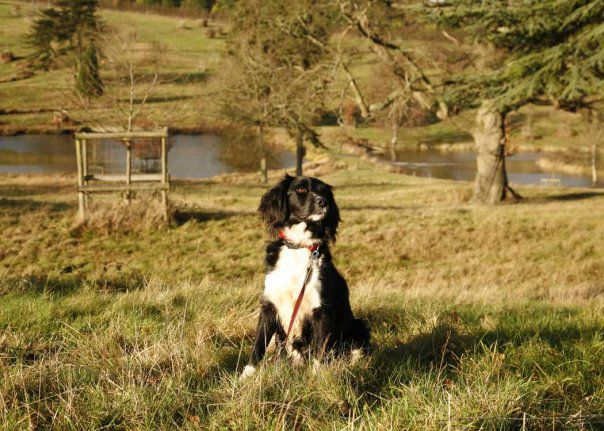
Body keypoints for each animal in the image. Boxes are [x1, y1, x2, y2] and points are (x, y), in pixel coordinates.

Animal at [241, 175, 368, 378]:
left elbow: (320, 350)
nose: (323, 202)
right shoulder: (270, 305)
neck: (299, 247)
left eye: (324, 192)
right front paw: (246, 376)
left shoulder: (321, 310)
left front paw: (316, 379)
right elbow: (258, 345)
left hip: (358, 327)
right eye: (301, 190)